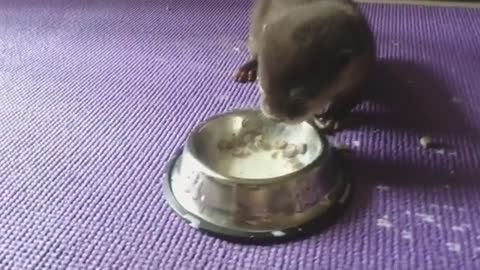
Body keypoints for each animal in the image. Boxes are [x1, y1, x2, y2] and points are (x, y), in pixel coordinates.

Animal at [232, 0, 376, 131]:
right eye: (262, 87)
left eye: (298, 96)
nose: (275, 117)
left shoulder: (361, 67)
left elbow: (349, 98)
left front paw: (331, 117)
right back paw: (247, 69)